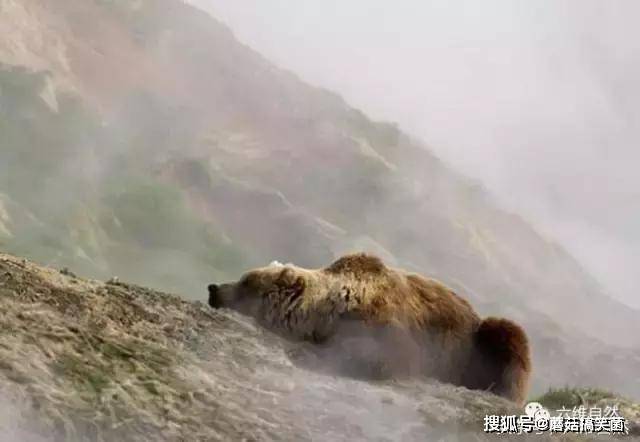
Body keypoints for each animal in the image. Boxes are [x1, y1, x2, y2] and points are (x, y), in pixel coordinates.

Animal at [208, 252, 532, 404]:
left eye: (247, 281)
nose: (214, 288)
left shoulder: (388, 326)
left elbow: (381, 356)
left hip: (478, 343)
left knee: (509, 337)